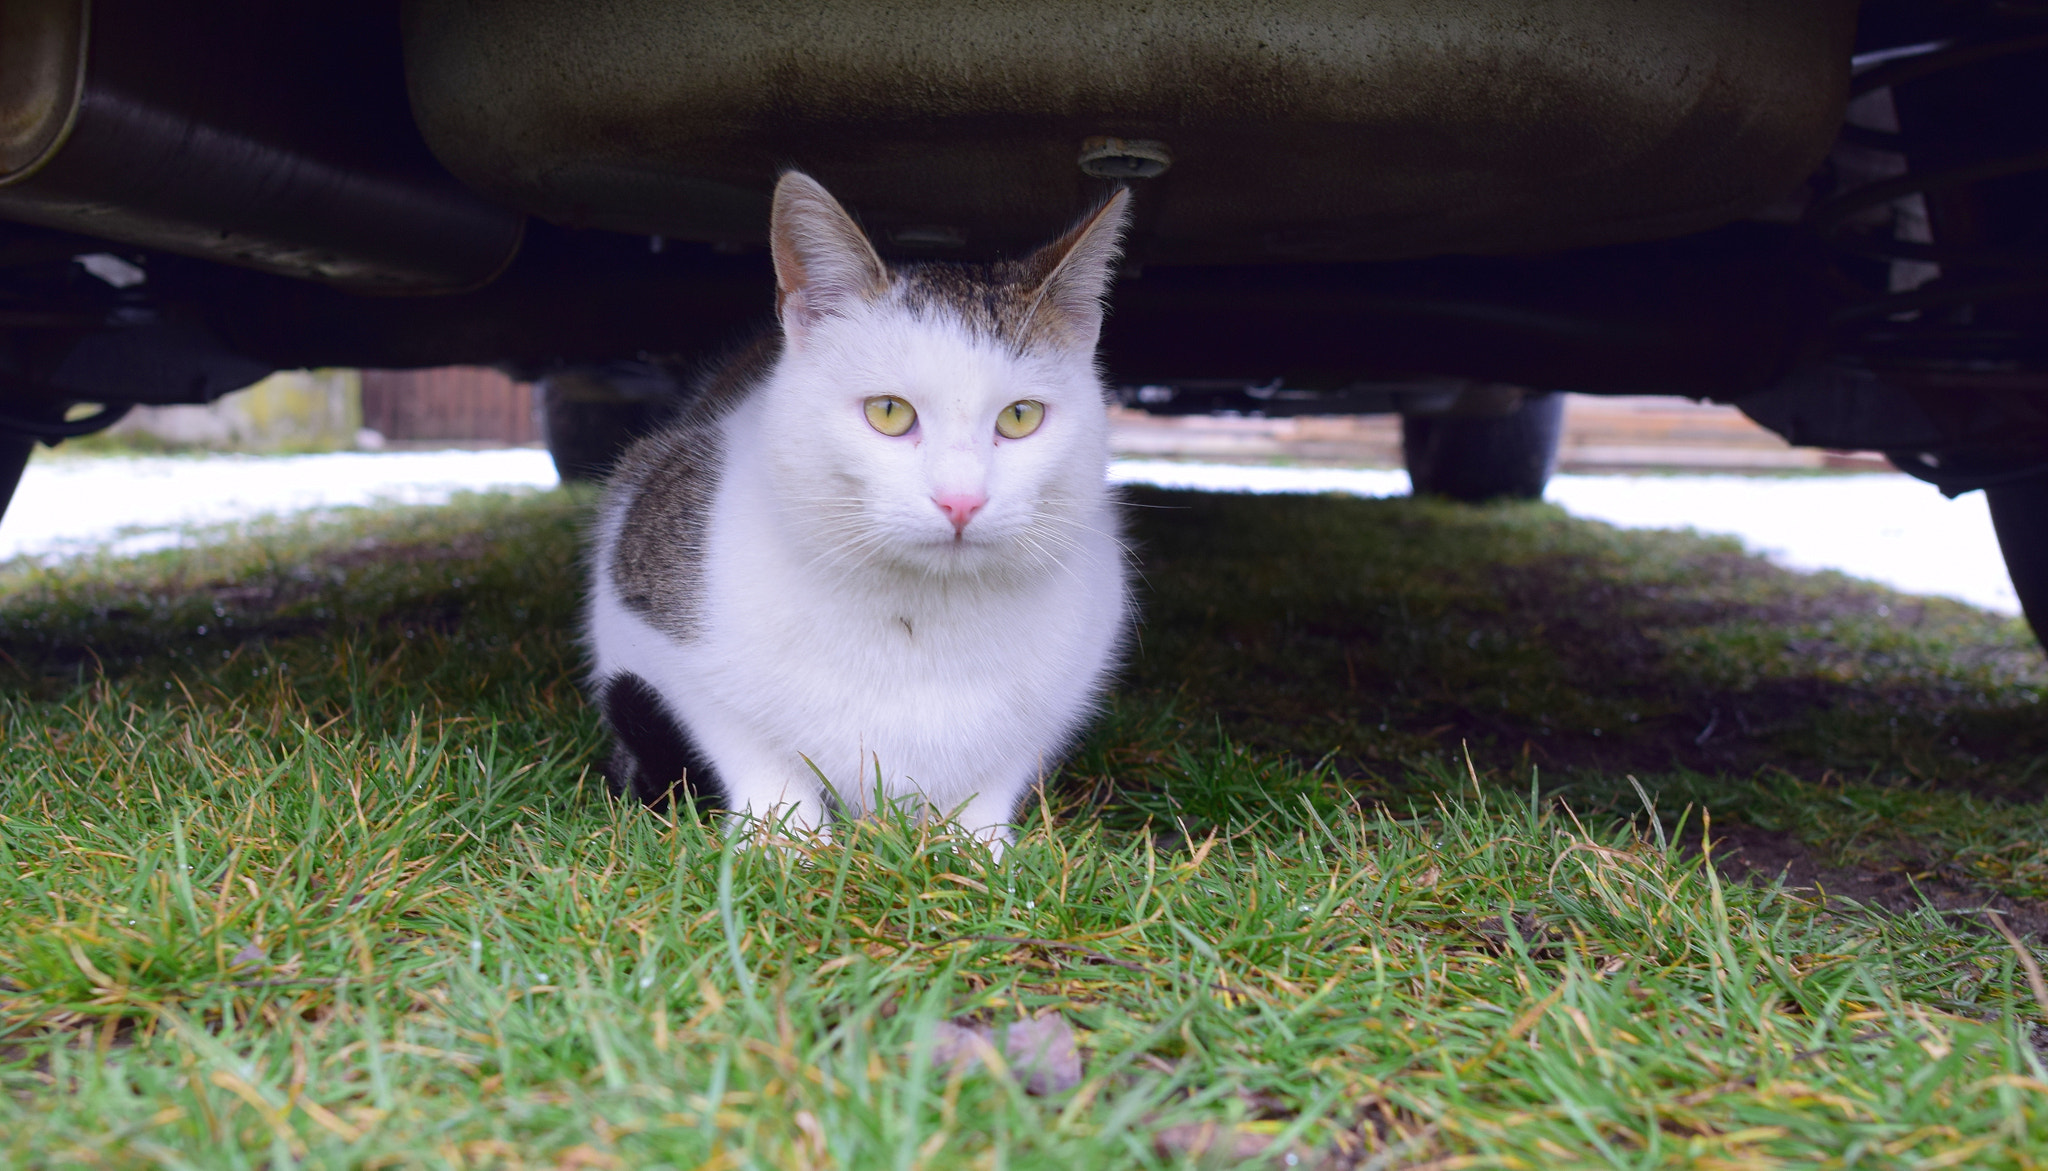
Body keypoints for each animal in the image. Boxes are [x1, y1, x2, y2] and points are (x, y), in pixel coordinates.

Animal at [585, 171, 1138, 851]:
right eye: (889, 412)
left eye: (1019, 416)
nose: (961, 499)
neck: (919, 617)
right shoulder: (640, 606)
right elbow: (752, 751)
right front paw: (786, 843)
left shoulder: (1074, 667)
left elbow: (994, 777)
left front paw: (978, 850)